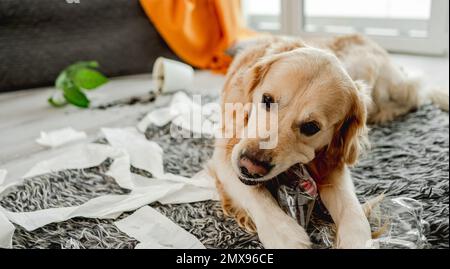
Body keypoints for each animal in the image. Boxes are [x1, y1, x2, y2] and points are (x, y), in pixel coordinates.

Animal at [209, 34, 448, 248]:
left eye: (311, 127)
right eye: (267, 99)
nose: (251, 166)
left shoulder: (334, 159)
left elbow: (351, 206)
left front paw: (358, 239)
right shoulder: (225, 153)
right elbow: (253, 192)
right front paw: (284, 233)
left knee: (417, 91)